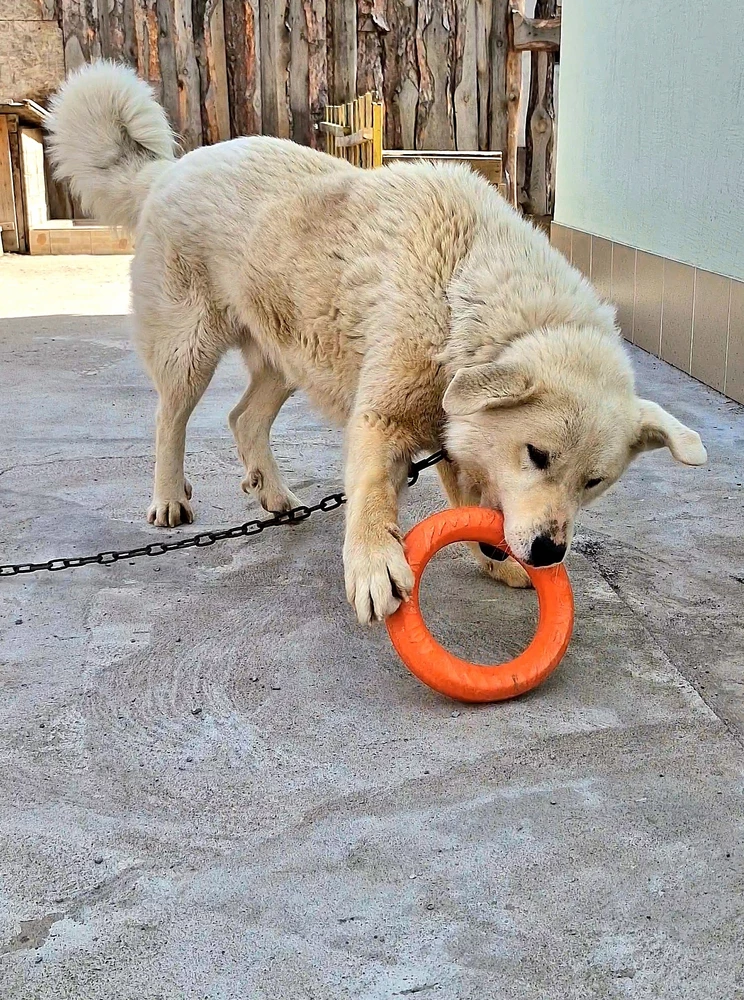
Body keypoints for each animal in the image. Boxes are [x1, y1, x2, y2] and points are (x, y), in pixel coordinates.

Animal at [49, 60, 708, 616]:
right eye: (538, 455)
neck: (465, 292)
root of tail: (171, 168)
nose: (549, 552)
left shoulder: (456, 435)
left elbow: (472, 499)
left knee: (244, 417)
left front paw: (494, 561)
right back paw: (169, 498)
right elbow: (371, 493)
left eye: (593, 483)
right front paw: (372, 565)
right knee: (171, 419)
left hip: (291, 354)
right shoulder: (382, 418)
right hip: (191, 348)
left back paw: (275, 495)